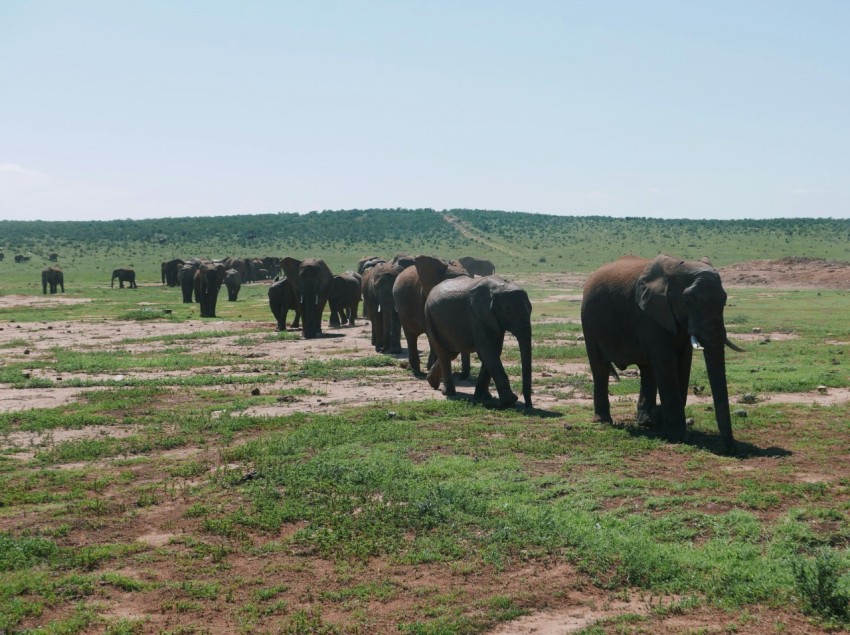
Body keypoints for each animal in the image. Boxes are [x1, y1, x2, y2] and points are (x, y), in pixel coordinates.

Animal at [424, 274, 528, 404]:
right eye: (508, 313)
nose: (528, 405)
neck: (500, 287)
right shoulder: (477, 316)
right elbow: (487, 352)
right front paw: (510, 400)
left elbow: (493, 352)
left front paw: (482, 397)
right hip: (429, 316)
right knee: (444, 353)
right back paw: (449, 393)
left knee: (451, 353)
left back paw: (431, 382)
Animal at [580, 253, 740, 452]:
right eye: (687, 301)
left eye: (724, 300)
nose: (729, 448)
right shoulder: (647, 314)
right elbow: (665, 361)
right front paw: (677, 435)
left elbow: (683, 362)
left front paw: (663, 423)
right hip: (588, 319)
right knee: (600, 367)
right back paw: (604, 421)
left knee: (647, 369)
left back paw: (646, 421)